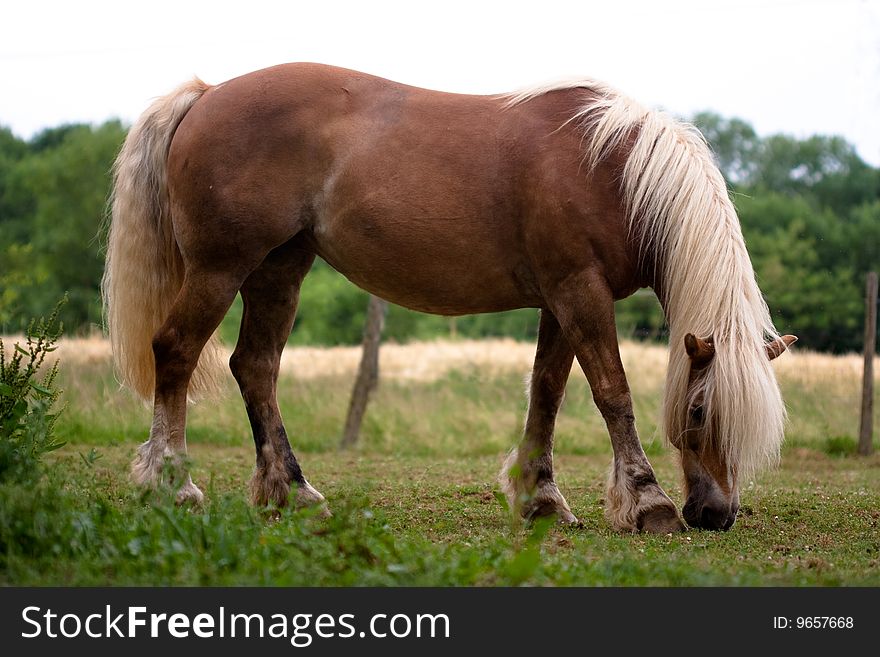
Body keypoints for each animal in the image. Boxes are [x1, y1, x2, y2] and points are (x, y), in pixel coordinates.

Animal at [103, 61, 796, 532]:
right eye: (700, 412)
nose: (716, 514)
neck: (610, 171)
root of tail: (207, 95)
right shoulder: (580, 292)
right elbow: (611, 392)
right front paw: (648, 502)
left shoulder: (559, 301)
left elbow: (548, 392)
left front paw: (540, 498)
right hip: (220, 270)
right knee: (176, 352)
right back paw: (173, 484)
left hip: (280, 269)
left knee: (255, 368)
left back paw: (292, 491)